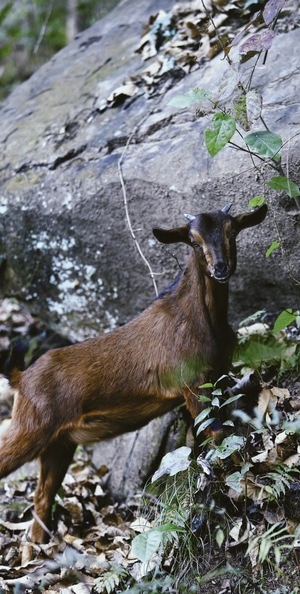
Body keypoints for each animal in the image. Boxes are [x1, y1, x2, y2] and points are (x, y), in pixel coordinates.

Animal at [0, 201, 268, 540]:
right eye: (193, 241)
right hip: (29, 428)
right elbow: (217, 434)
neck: (199, 318)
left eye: (232, 231)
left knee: (41, 500)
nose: (220, 268)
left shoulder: (217, 375)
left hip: (59, 443)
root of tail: (20, 379)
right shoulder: (192, 383)